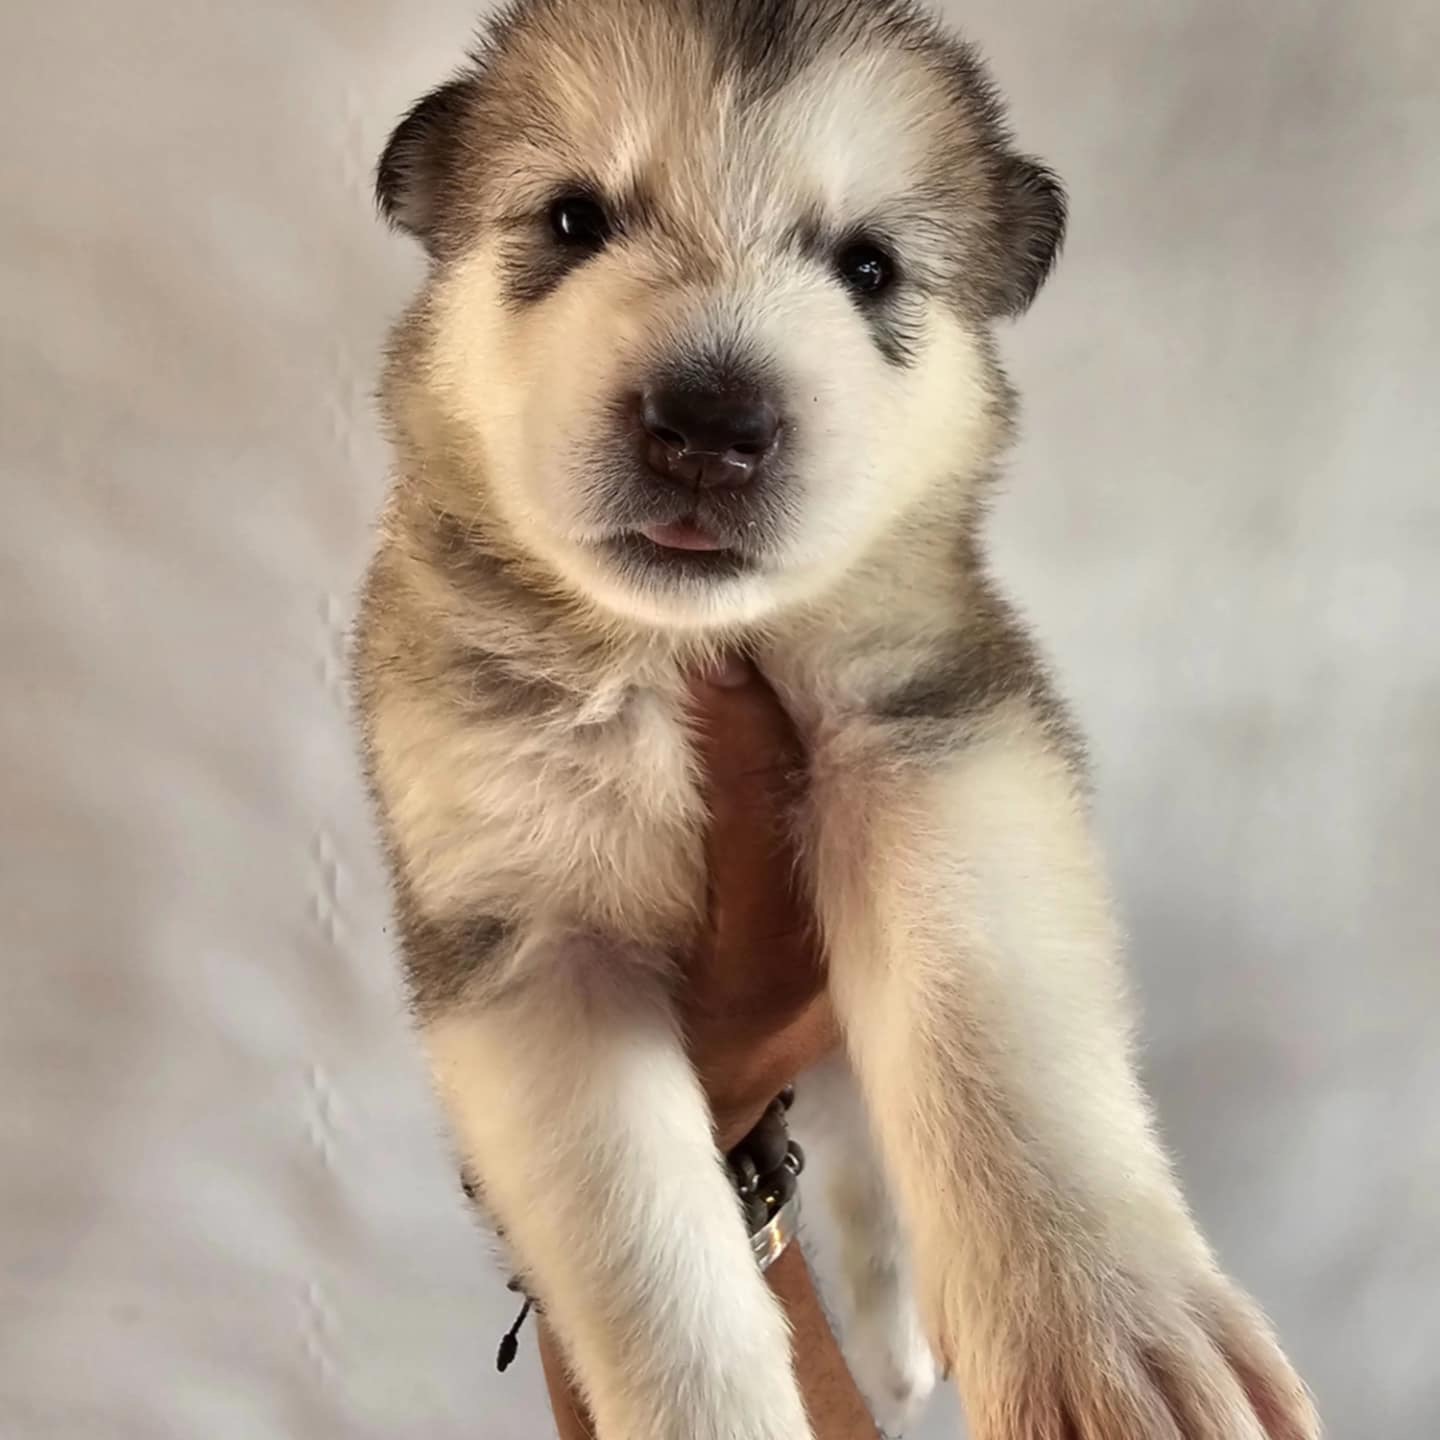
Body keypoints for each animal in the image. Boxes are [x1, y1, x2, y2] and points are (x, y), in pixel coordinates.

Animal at [354, 2, 1319, 1440]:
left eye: (868, 266)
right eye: (574, 221)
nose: (708, 425)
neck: (675, 654)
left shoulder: (935, 734)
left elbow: (985, 1022)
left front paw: (1108, 1332)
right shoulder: (525, 934)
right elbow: (645, 1249)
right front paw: (713, 1413)